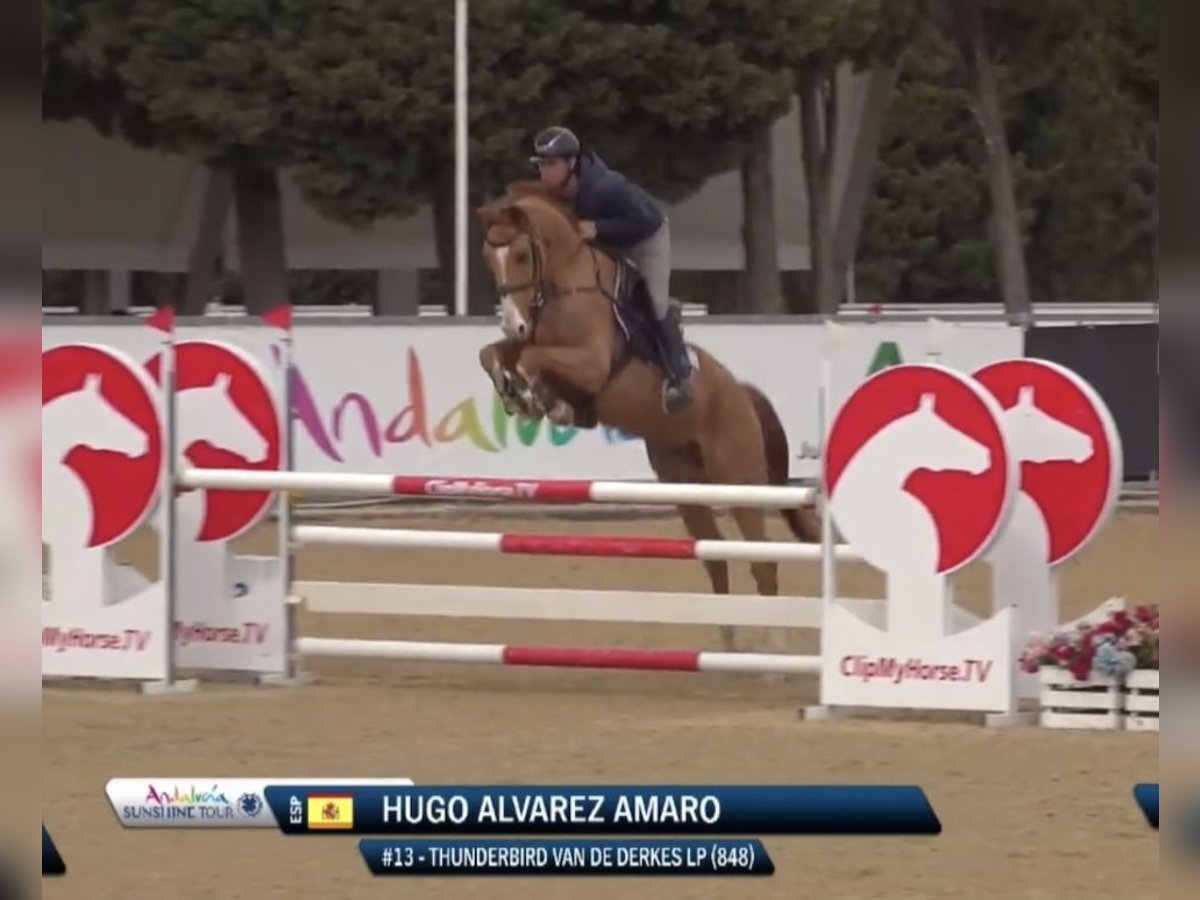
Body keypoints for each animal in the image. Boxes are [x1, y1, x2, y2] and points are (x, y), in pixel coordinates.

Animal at [472, 183, 820, 652]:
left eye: (524, 255)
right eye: (489, 258)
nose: (514, 323)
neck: (568, 284)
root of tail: (741, 393)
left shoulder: (590, 362)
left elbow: (531, 359)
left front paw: (537, 398)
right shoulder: (534, 343)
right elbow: (494, 353)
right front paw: (518, 392)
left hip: (741, 480)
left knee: (762, 560)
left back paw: (773, 650)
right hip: (685, 485)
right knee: (716, 556)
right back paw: (728, 641)